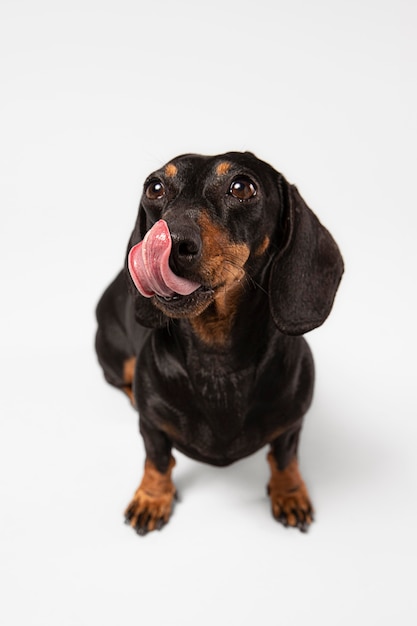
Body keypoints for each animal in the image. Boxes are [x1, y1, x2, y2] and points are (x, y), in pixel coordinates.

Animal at [96, 151, 342, 532]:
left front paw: (290, 493)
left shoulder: (292, 424)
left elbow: (285, 458)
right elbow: (157, 460)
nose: (172, 243)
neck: (217, 356)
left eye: (242, 187)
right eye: (155, 187)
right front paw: (152, 498)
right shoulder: (151, 428)